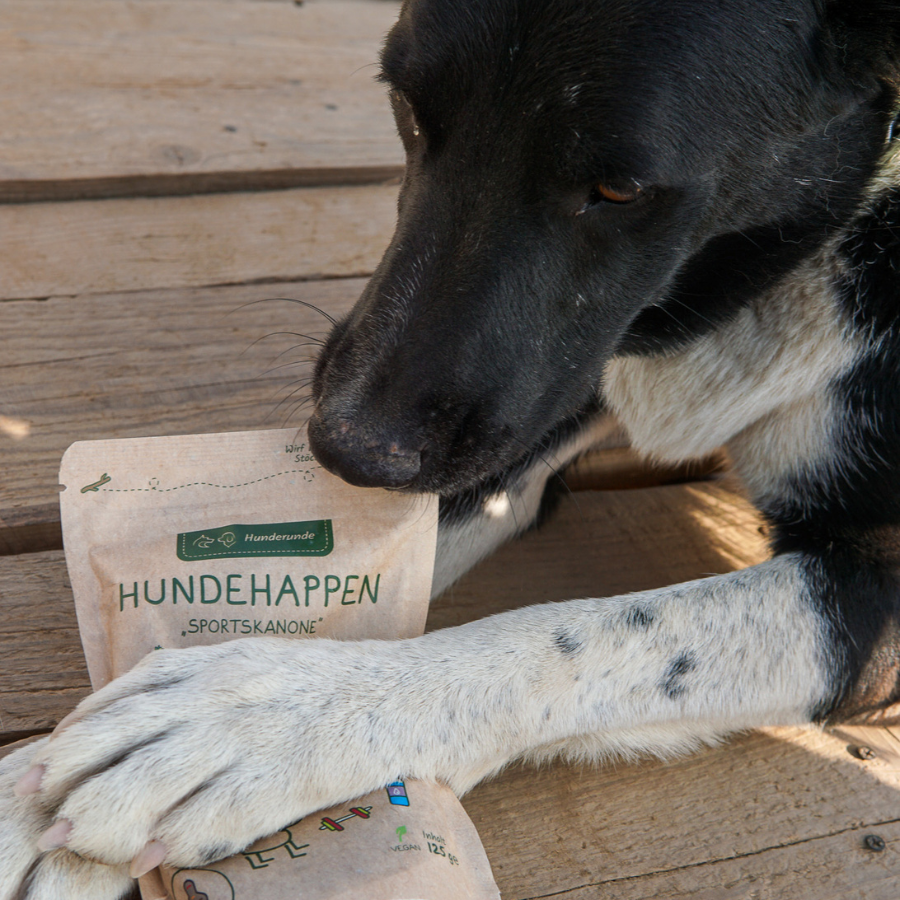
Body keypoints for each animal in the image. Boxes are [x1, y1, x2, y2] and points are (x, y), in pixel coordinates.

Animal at [1, 0, 900, 896]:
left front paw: (269, 716)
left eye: (620, 190)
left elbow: (591, 634)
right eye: (403, 105)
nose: (349, 447)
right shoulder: (530, 415)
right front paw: (28, 804)